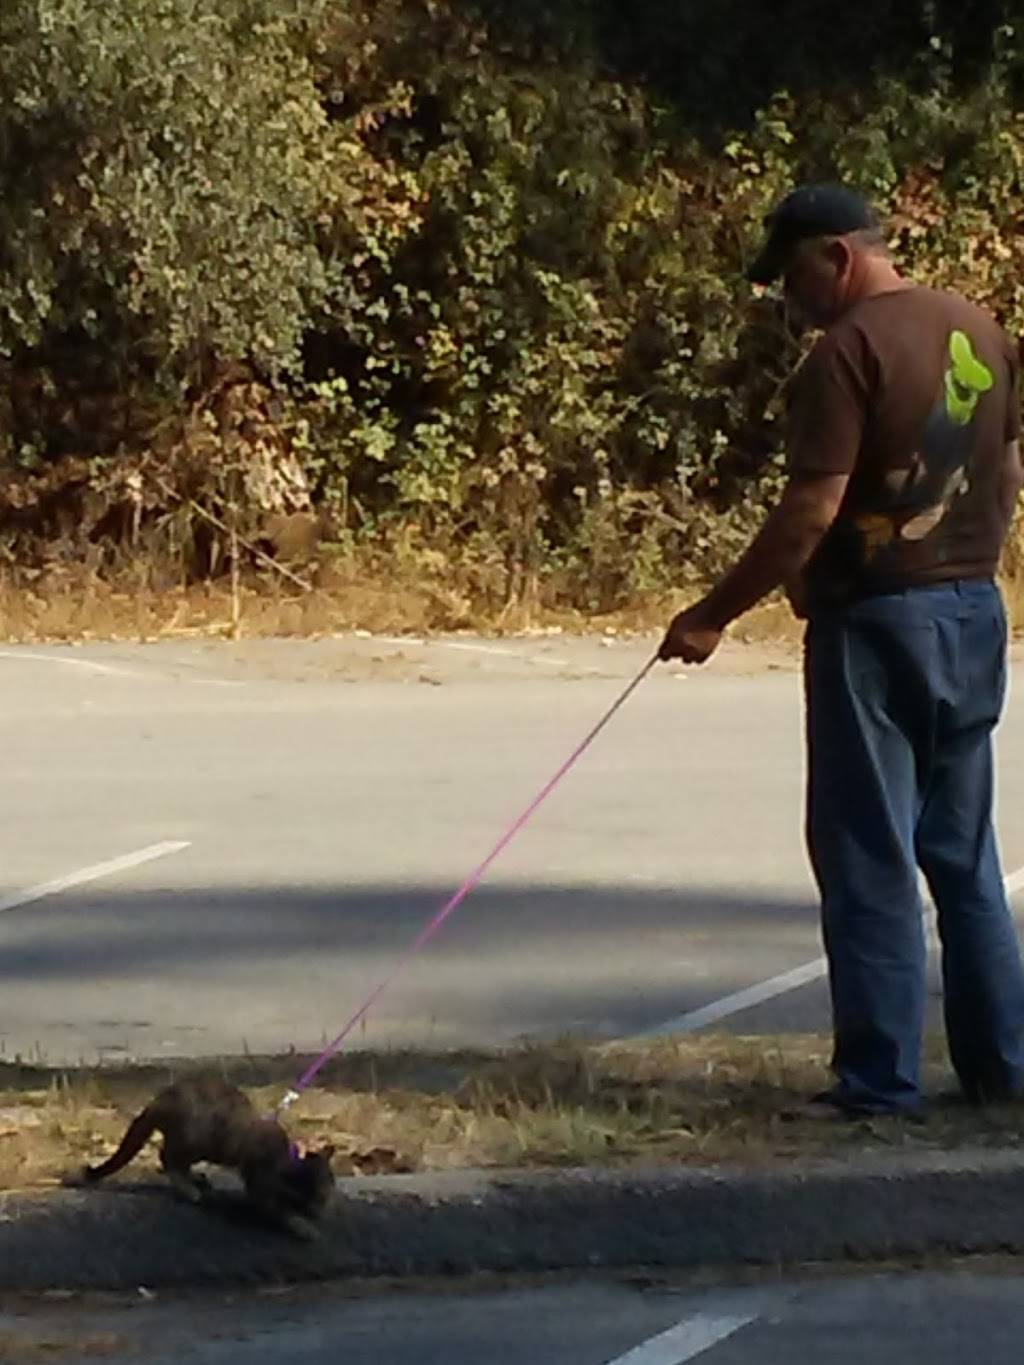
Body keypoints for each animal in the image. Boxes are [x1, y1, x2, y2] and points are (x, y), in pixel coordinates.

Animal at [73, 1075, 337, 1239]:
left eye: (326, 1194)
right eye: (313, 1195)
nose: (318, 1211)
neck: (285, 1158)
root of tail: (158, 1101)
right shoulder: (261, 1185)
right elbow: (277, 1209)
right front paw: (303, 1225)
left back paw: (196, 1179)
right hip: (195, 1137)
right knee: (167, 1157)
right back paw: (188, 1188)